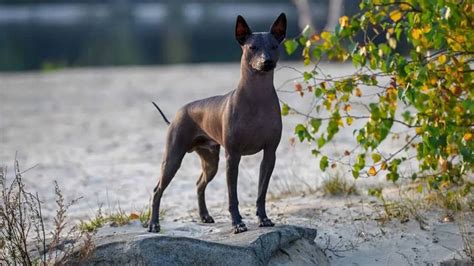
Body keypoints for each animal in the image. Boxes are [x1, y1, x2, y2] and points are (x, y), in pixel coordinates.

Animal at [150, 13, 286, 234]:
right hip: (173, 158)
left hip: (211, 161)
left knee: (199, 184)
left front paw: (263, 218)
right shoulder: (233, 156)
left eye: (274, 46)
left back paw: (204, 216)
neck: (257, 98)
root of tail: (179, 112)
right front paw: (237, 223)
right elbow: (233, 197)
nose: (266, 62)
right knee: (157, 190)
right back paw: (154, 224)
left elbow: (261, 193)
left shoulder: (269, 155)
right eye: (252, 47)